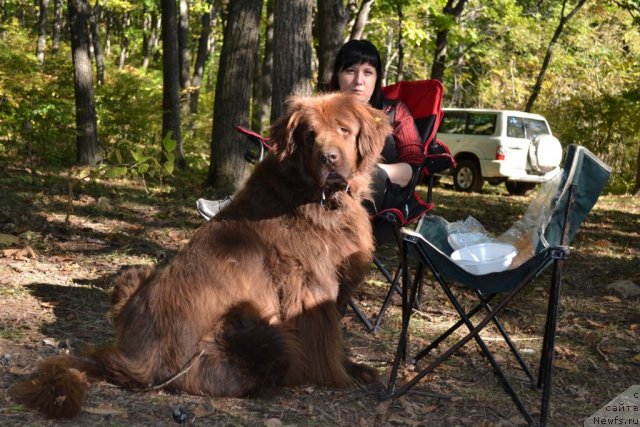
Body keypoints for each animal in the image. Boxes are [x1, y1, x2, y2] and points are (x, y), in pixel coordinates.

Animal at [12, 93, 392, 418]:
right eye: (310, 136)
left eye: (344, 130)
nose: (329, 158)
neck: (316, 196)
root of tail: (139, 360)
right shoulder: (312, 284)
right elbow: (326, 340)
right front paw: (338, 376)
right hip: (258, 327)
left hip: (136, 274)